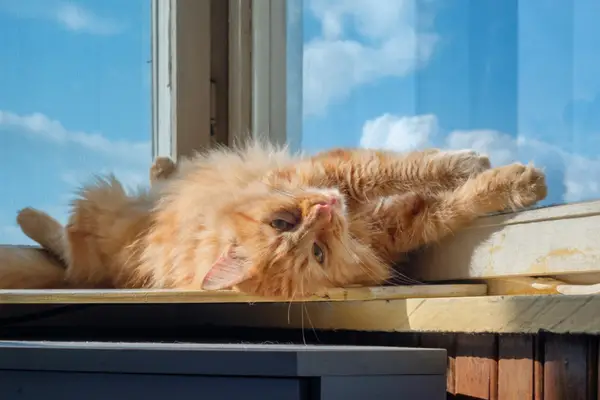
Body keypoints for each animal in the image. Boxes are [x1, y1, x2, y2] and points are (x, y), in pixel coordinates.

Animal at [2, 142, 548, 298]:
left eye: (283, 224)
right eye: (317, 252)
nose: (325, 210)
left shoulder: (347, 179)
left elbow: (428, 176)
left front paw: (494, 173)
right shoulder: (392, 213)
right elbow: (442, 191)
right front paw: (517, 179)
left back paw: (164, 166)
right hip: (102, 214)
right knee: (69, 248)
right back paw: (27, 216)